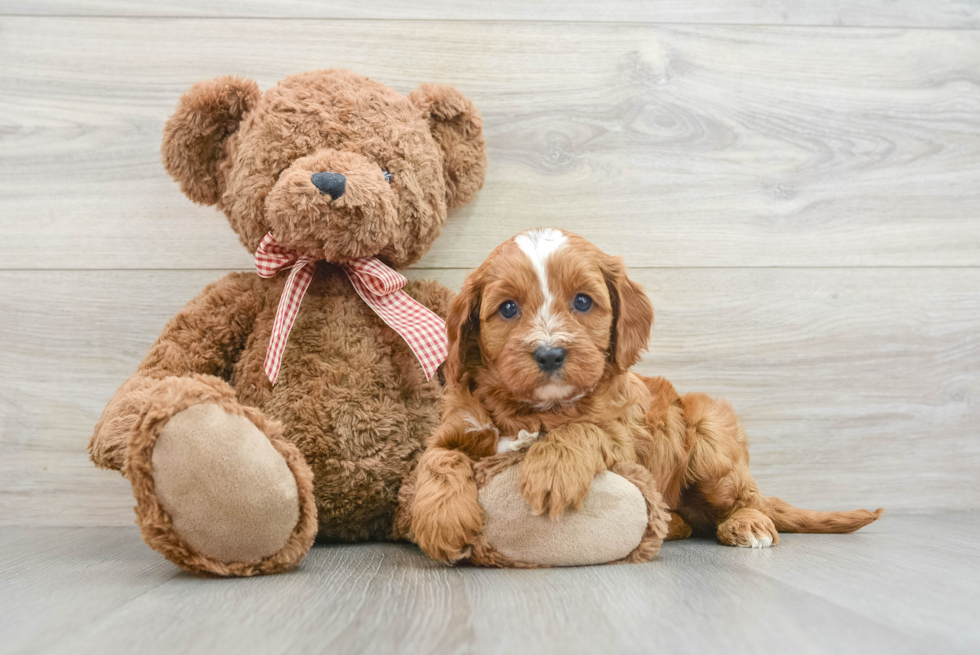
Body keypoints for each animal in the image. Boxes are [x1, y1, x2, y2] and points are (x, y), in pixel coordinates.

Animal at [410, 231, 884, 564]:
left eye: (583, 301)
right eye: (507, 308)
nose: (549, 354)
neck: (536, 409)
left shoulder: (624, 436)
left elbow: (584, 429)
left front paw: (552, 470)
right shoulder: (455, 427)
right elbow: (437, 459)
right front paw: (441, 520)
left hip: (710, 434)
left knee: (745, 496)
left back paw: (749, 524)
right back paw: (671, 525)